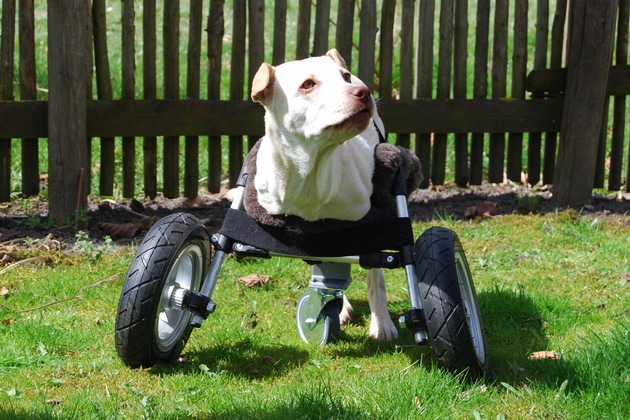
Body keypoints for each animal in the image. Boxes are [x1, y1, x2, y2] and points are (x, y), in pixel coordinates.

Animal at [249, 49, 399, 341]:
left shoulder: (369, 222)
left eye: (345, 77)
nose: (362, 92)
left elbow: (376, 276)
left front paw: (382, 324)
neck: (313, 172)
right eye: (308, 84)